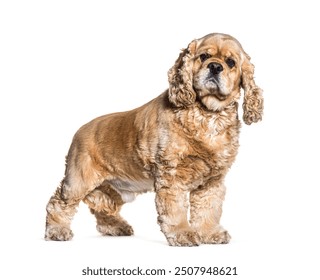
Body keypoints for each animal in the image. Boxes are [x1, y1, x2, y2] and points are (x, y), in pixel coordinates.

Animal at [45, 34, 264, 246]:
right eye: (203, 56)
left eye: (231, 62)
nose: (215, 66)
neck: (207, 115)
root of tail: (79, 130)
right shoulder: (172, 175)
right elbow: (175, 209)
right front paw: (182, 234)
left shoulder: (212, 181)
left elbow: (208, 209)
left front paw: (209, 233)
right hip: (78, 181)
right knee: (57, 203)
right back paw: (57, 230)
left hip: (115, 188)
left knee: (102, 207)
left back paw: (116, 227)